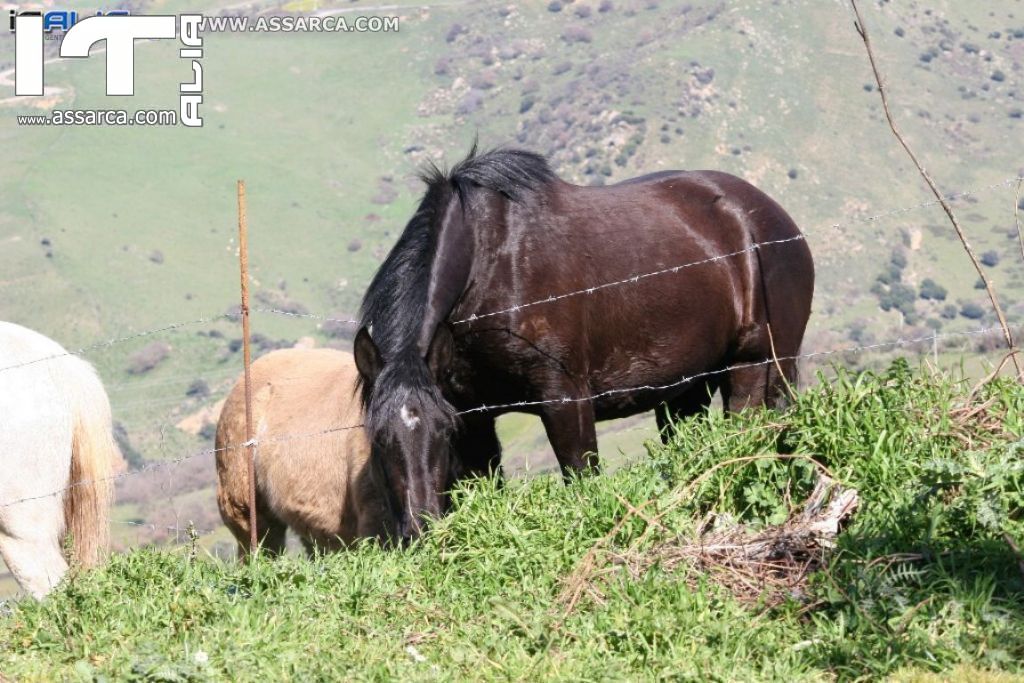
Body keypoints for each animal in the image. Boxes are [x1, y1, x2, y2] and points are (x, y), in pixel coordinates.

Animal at [352, 147, 815, 540]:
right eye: (378, 437)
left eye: (442, 431)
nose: (419, 530)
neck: (488, 267)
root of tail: (768, 218)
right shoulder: (475, 415)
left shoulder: (564, 400)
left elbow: (581, 480)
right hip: (686, 390)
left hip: (758, 365)